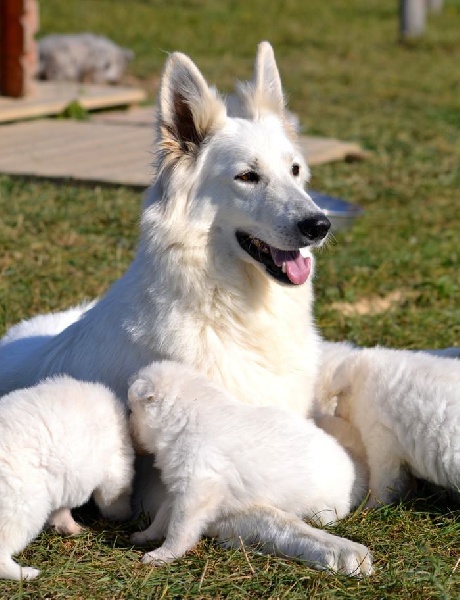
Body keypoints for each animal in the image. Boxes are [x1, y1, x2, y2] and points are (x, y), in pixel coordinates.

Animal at [0, 378, 133, 580]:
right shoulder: (115, 469)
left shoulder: (60, 484)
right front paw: (123, 514)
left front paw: (72, 528)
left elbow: (61, 512)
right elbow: (115, 496)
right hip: (22, 508)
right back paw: (27, 573)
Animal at [127, 360, 372, 576]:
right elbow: (163, 517)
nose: (128, 434)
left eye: (130, 410)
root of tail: (353, 472)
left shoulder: (197, 489)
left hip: (320, 510)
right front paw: (145, 536)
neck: (186, 417)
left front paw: (162, 555)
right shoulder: (178, 488)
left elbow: (179, 529)